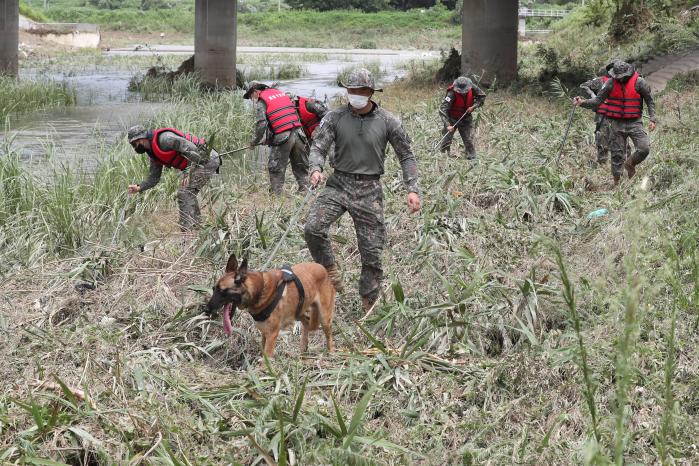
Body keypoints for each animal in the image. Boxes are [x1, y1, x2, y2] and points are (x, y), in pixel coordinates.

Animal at [208, 255, 336, 356]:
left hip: (324, 318)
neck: (260, 289)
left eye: (223, 292)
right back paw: (303, 349)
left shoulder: (272, 335)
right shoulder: (265, 333)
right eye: (213, 289)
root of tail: (322, 267)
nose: (206, 309)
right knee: (306, 322)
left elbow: (266, 358)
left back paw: (331, 353)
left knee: (328, 334)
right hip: (298, 311)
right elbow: (263, 351)